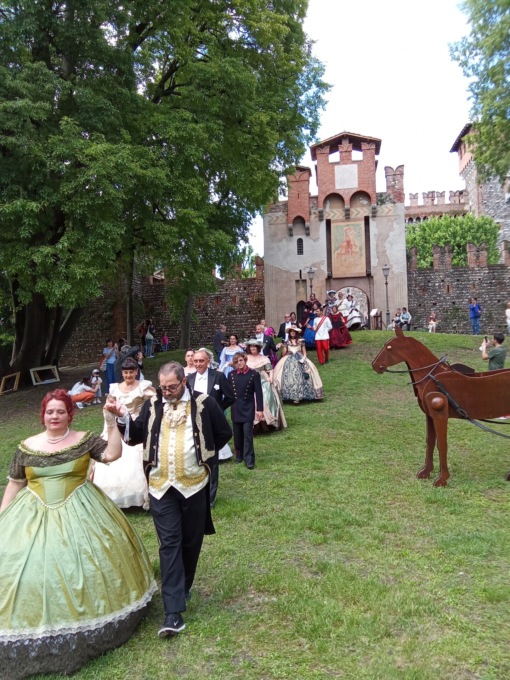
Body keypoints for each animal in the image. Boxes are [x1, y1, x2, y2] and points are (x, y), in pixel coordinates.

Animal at [372, 326, 510, 486]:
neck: (432, 377)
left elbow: (442, 445)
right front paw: (425, 472)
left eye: (389, 347)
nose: (374, 365)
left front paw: (441, 479)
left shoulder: (440, 415)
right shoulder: (430, 416)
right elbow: (430, 442)